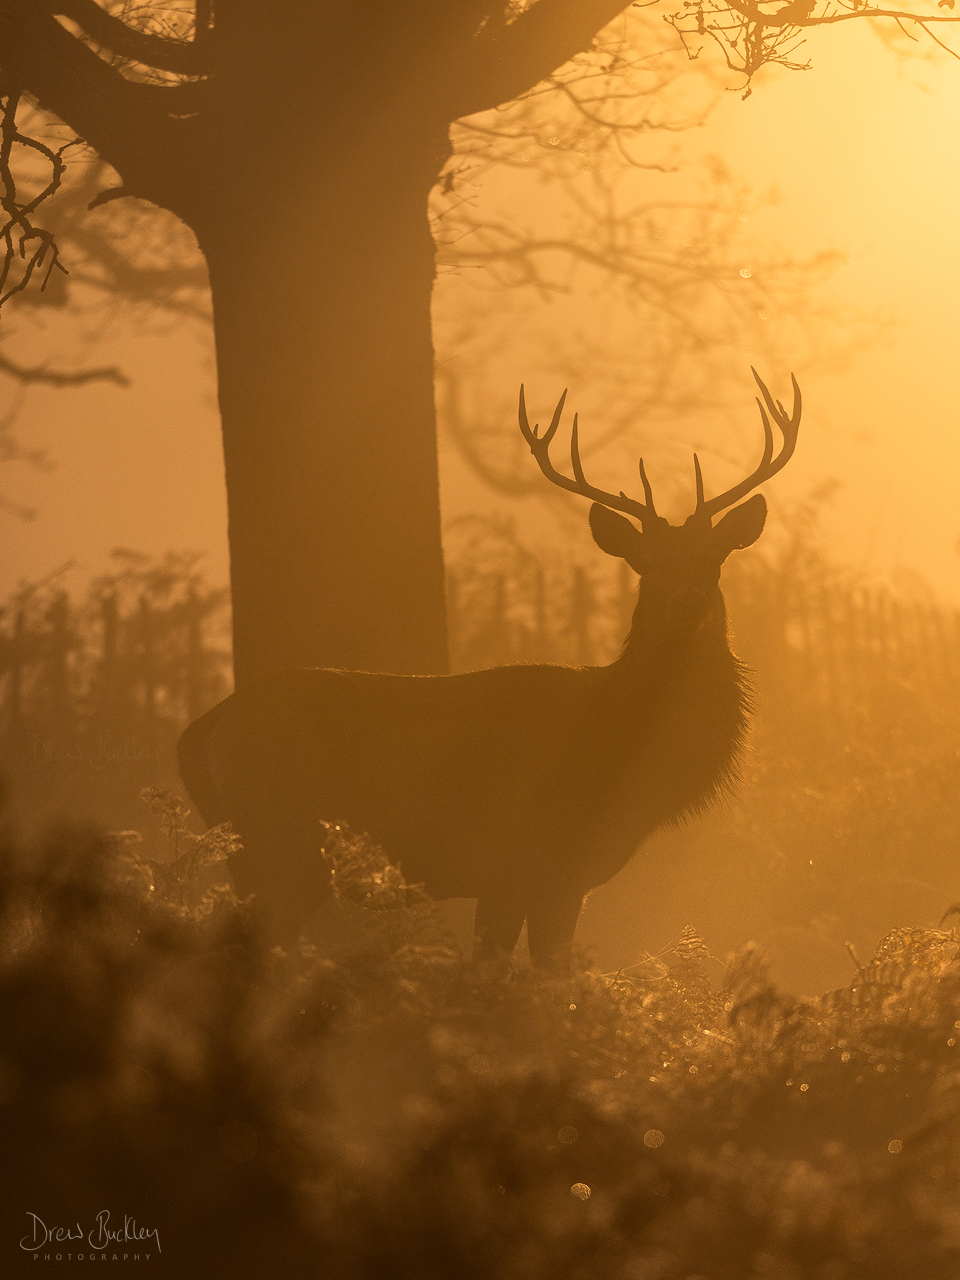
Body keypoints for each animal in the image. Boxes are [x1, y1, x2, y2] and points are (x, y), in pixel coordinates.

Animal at [177, 369, 800, 969]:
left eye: (715, 557)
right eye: (644, 562)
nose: (688, 604)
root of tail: (201, 730)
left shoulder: (552, 879)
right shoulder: (523, 861)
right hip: (278, 844)